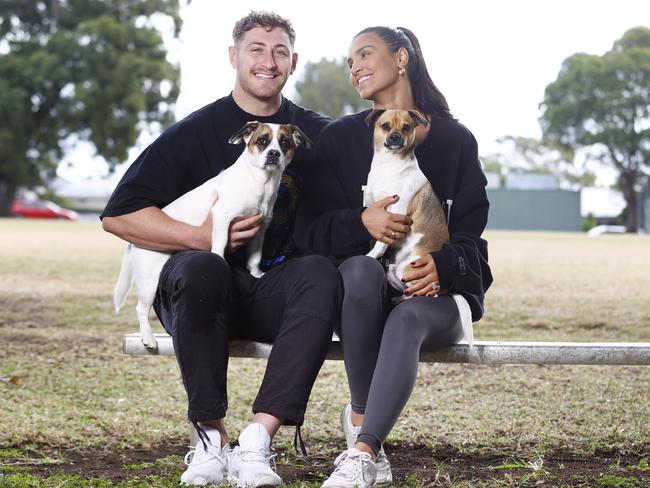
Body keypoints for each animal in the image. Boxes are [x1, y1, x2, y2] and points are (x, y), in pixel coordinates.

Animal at [113, 122, 312, 350]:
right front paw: (219, 258)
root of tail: (132, 244)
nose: (273, 153)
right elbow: (221, 242)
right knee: (141, 308)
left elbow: (255, 256)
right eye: (262, 140)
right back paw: (147, 337)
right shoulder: (222, 216)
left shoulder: (260, 228)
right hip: (150, 280)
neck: (259, 182)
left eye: (284, 142)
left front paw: (255, 272)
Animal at [364, 109, 470, 346]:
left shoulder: (394, 215)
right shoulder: (373, 208)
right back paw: (399, 298)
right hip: (394, 272)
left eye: (406, 127)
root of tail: (447, 289)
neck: (389, 165)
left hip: (408, 269)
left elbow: (380, 244)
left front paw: (370, 255)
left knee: (427, 294)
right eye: (385, 126)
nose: (395, 136)